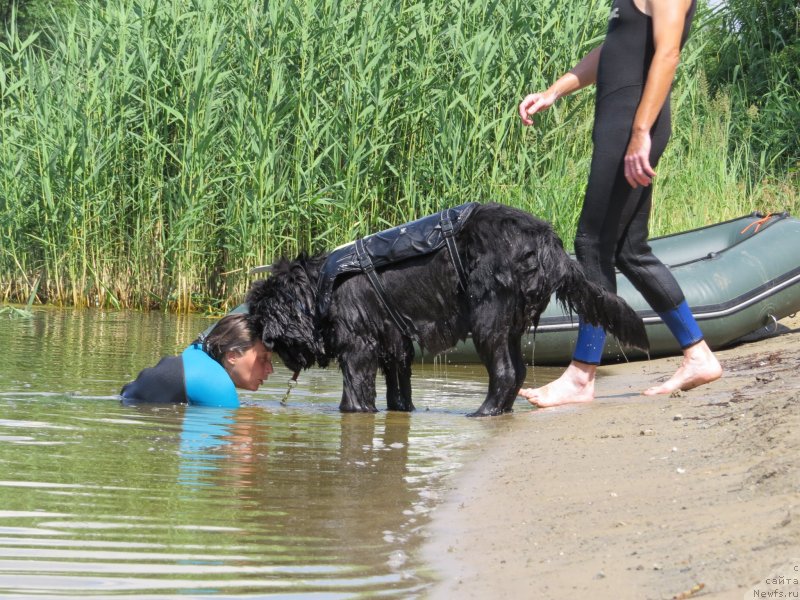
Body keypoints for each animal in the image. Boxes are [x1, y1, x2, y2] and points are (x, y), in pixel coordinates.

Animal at [247, 204, 648, 414]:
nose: (277, 355)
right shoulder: (395, 344)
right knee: (518, 371)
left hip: (487, 318)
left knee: (504, 371)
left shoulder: (358, 346)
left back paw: (483, 412)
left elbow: (356, 392)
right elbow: (398, 389)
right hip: (510, 323)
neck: (320, 286)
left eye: (269, 333)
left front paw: (356, 412)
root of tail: (547, 242)